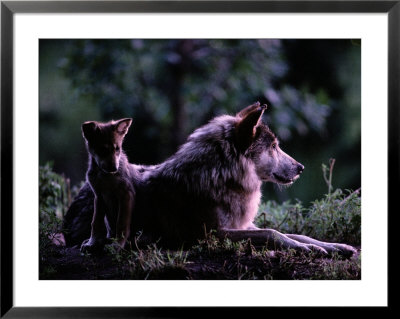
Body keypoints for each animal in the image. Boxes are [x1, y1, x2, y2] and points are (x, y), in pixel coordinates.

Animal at [64, 104, 358, 258]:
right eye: (274, 147)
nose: (301, 168)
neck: (221, 177)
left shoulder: (243, 224)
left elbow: (293, 233)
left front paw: (335, 247)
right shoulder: (213, 234)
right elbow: (273, 233)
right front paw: (310, 249)